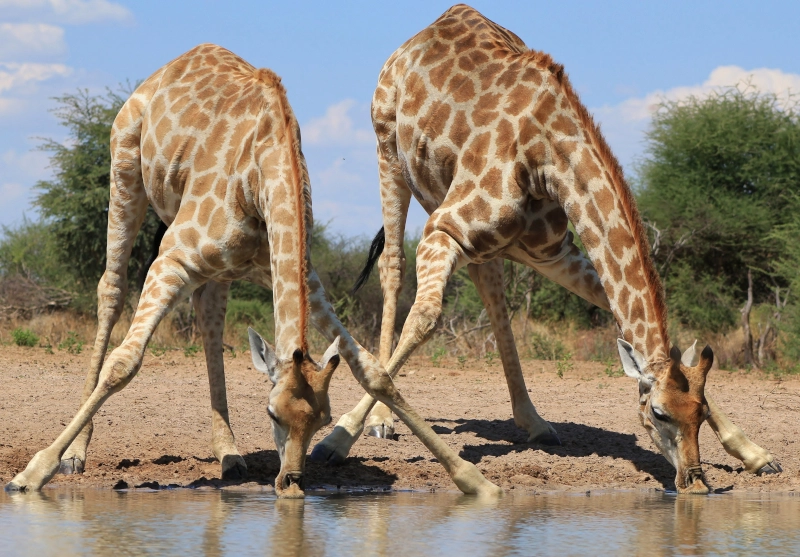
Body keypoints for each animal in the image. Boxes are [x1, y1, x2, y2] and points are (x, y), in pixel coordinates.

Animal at [4, 42, 500, 496]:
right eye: (271, 414)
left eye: (322, 419)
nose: (293, 483)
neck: (260, 179)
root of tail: (167, 67)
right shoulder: (172, 258)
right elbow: (123, 363)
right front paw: (32, 473)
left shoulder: (303, 277)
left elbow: (374, 373)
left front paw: (475, 481)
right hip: (123, 167)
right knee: (111, 290)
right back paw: (76, 454)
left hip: (219, 268)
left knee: (208, 318)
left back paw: (229, 454)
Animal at [308, 4, 780, 490]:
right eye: (659, 413)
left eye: (700, 413)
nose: (694, 480)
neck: (546, 156)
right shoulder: (443, 231)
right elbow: (423, 320)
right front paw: (338, 437)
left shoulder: (553, 253)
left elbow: (615, 312)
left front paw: (755, 453)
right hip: (386, 150)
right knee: (392, 266)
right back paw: (381, 420)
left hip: (485, 238)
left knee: (491, 290)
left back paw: (533, 421)